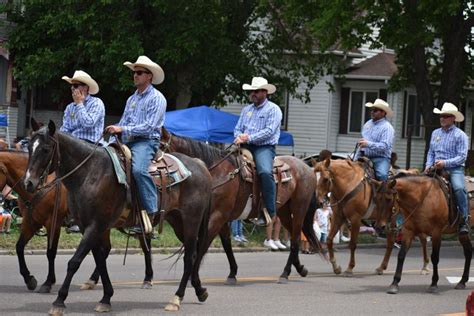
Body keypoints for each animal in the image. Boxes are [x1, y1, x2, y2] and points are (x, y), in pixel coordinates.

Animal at [0, 149, 67, 292]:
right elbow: (19, 247)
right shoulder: (30, 222)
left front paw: (48, 282)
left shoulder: (53, 223)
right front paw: (29, 279)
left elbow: (51, 252)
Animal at [23, 120, 213, 314]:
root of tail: (200, 165)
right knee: (194, 254)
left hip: (191, 222)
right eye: (29, 147)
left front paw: (59, 301)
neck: (90, 173)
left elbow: (75, 262)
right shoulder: (89, 227)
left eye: (46, 149)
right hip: (178, 222)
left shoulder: (96, 225)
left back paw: (176, 298)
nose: (28, 183)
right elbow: (100, 260)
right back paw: (200, 290)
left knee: (189, 258)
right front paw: (106, 298)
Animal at [160, 127, 322, 286]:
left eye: (160, 146)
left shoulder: (217, 217)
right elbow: (226, 244)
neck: (216, 173)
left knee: (296, 238)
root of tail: (307, 167)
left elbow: (203, 245)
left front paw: (193, 277)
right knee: (295, 236)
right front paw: (232, 273)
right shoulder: (221, 219)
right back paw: (300, 268)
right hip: (284, 212)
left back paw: (285, 273)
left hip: (299, 208)